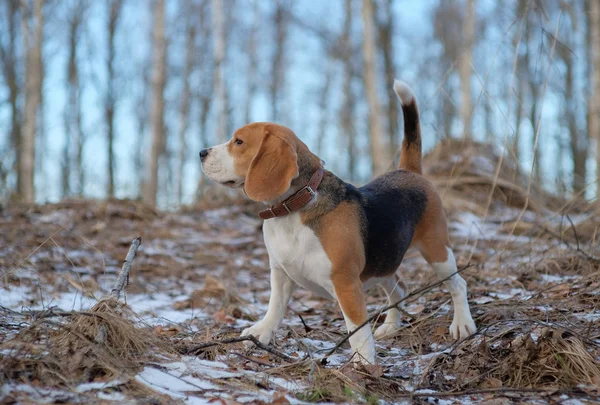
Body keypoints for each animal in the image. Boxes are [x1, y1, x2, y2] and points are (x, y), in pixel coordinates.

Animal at [199, 79, 476, 362]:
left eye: (239, 141)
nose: (201, 152)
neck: (294, 208)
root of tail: (408, 171)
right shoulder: (281, 272)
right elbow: (275, 307)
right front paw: (261, 332)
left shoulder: (346, 284)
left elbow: (358, 332)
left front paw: (363, 364)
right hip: (383, 265)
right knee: (399, 288)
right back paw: (390, 326)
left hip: (437, 250)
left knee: (458, 284)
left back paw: (463, 324)